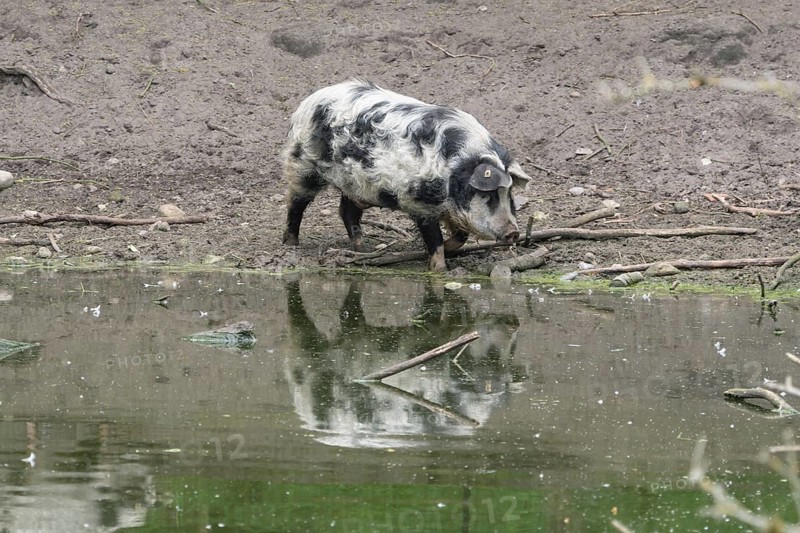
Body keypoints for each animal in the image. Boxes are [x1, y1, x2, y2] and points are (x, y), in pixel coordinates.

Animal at [281, 79, 531, 271]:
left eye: (510, 195)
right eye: (488, 195)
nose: (513, 232)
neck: (455, 170)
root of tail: (308, 102)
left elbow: (461, 237)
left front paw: (446, 251)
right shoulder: (420, 204)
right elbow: (434, 239)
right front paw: (439, 269)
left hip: (355, 183)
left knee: (347, 211)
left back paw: (364, 249)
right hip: (302, 165)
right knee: (296, 203)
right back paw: (291, 244)